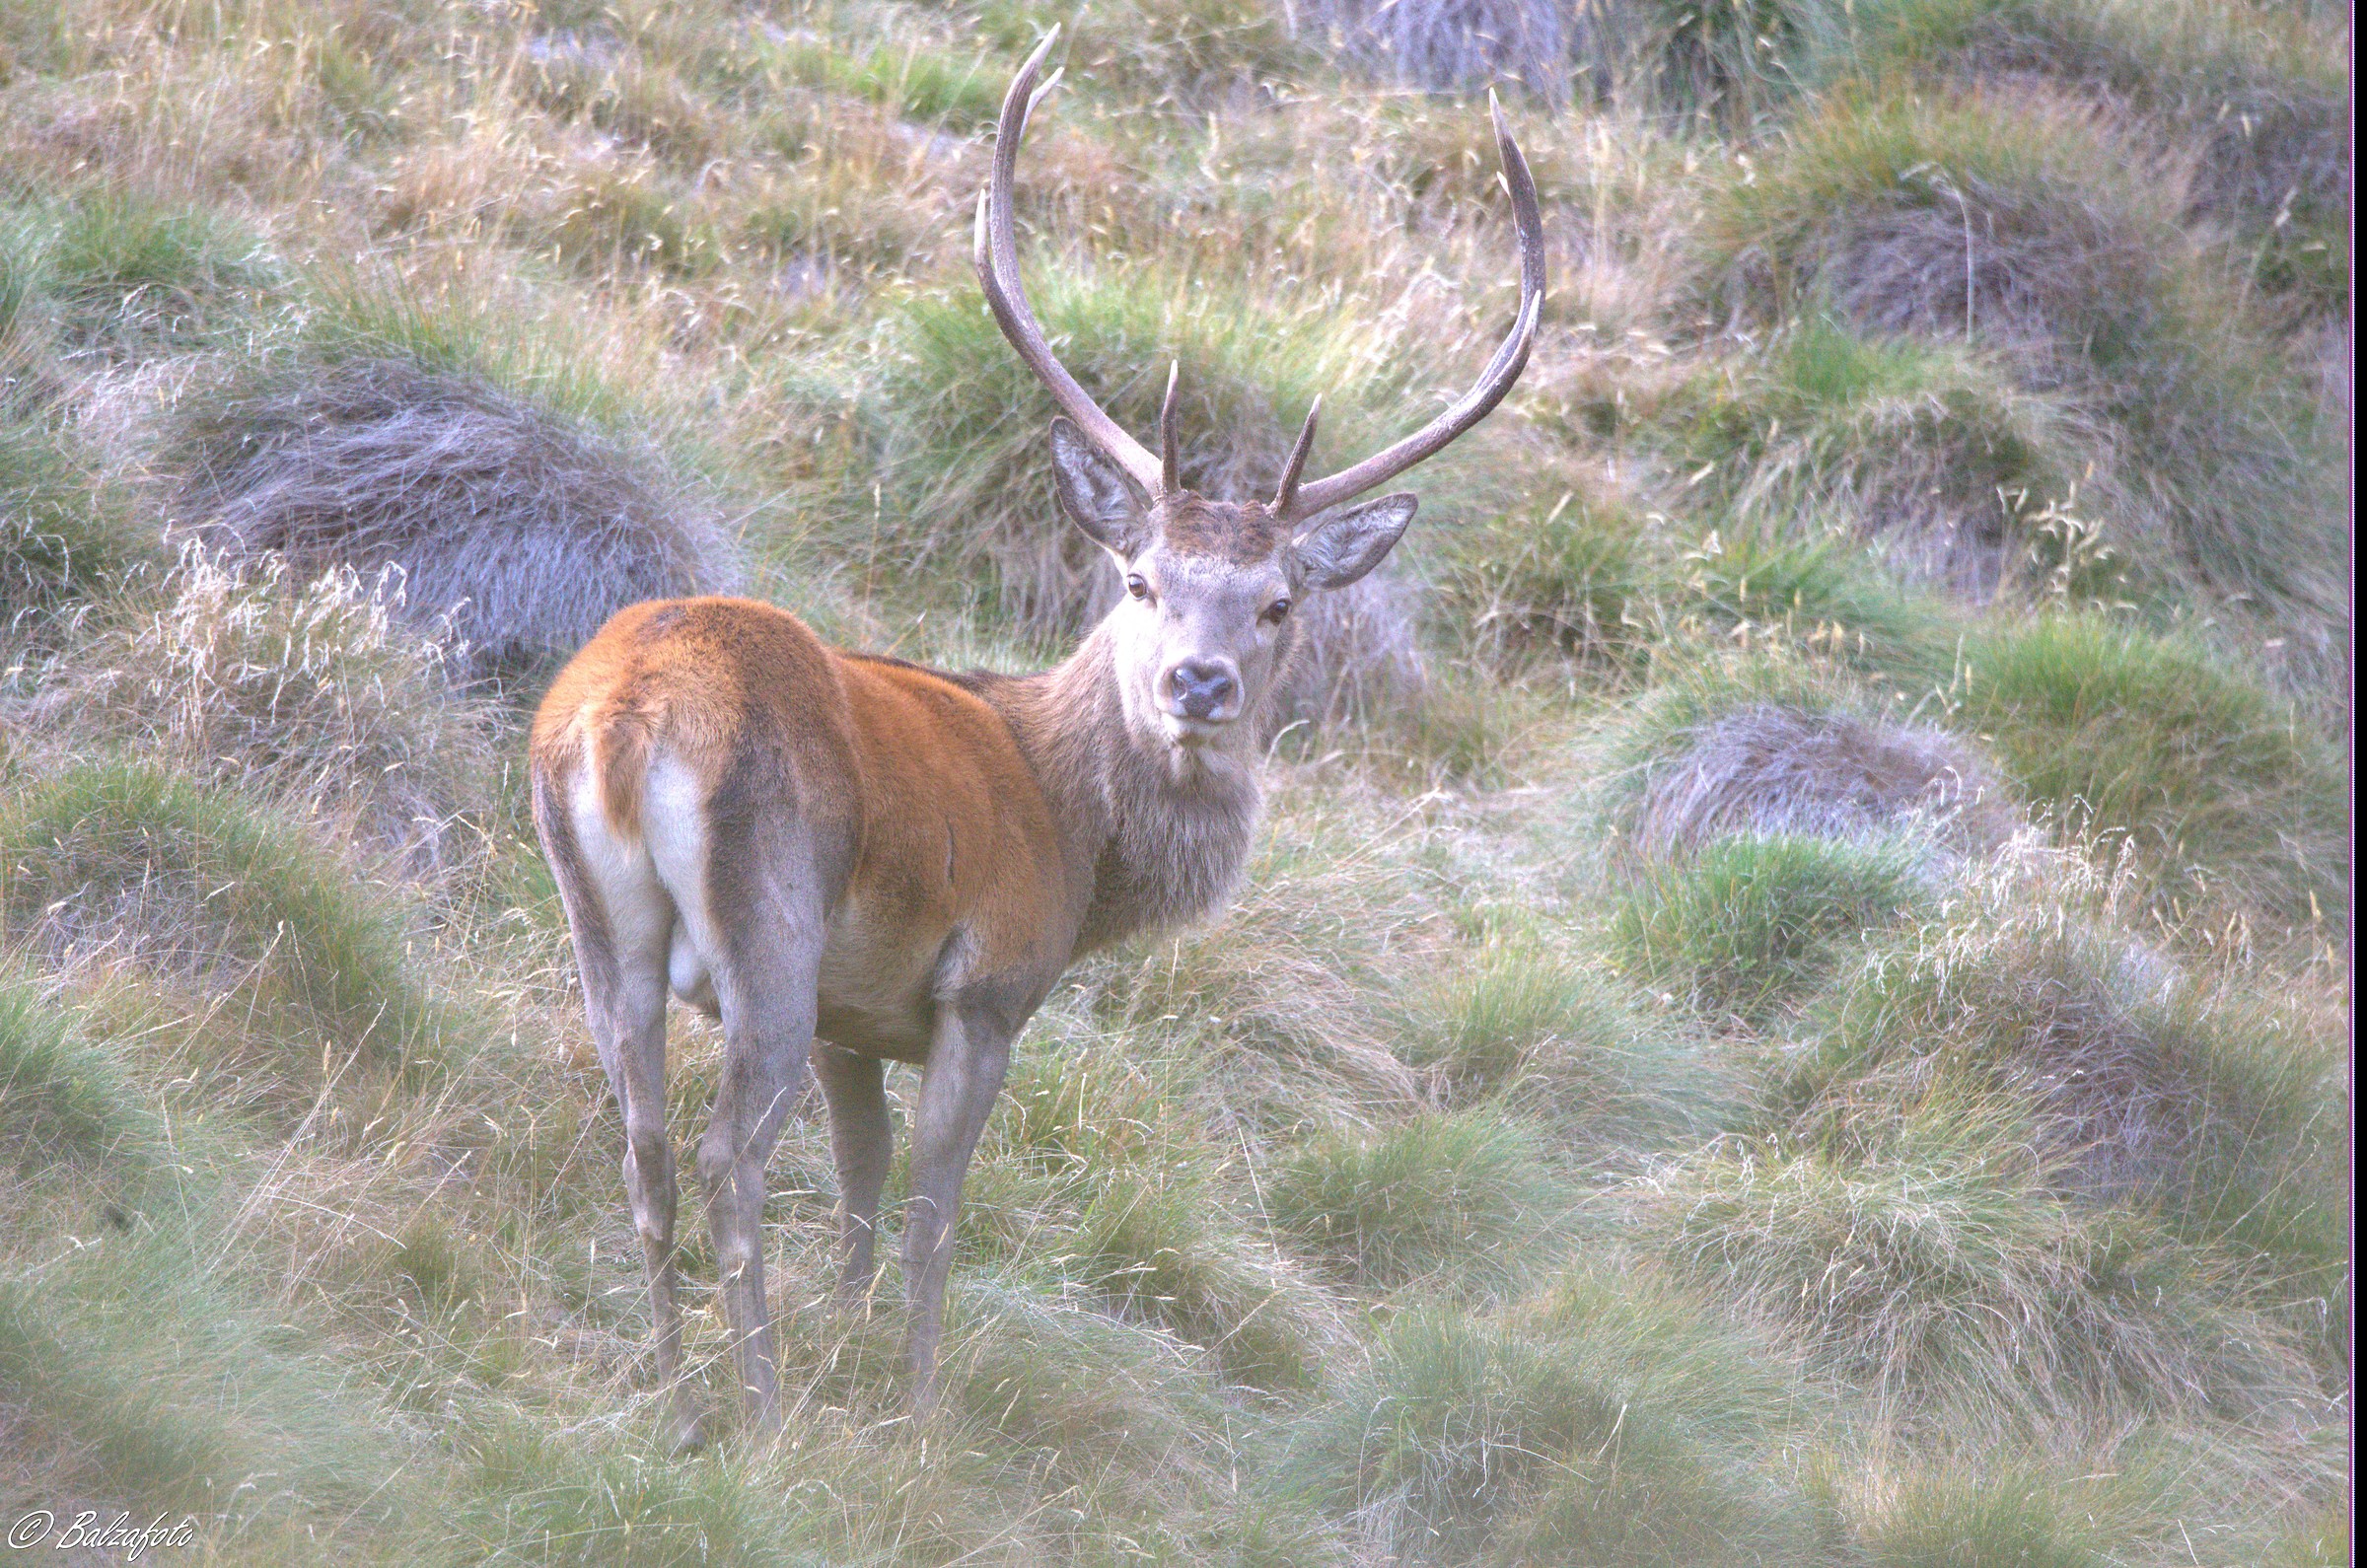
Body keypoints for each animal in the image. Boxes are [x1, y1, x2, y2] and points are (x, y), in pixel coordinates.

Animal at [527, 29, 1544, 1448]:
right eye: (1139, 577)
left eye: (1278, 602)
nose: (1197, 682)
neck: (1080, 841)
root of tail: (624, 716)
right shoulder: (986, 986)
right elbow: (930, 1214)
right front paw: (912, 1409)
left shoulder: (857, 1016)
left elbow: (860, 1185)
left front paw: (852, 1353)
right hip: (769, 919)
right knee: (730, 1155)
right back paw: (762, 1412)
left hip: (597, 920)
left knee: (647, 1146)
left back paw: (679, 1402)